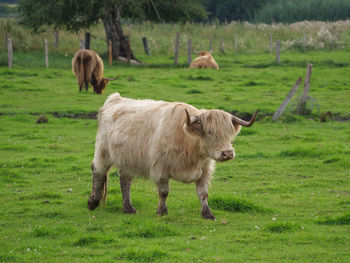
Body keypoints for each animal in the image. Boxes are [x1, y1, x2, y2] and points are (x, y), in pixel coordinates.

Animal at [87, 93, 258, 221]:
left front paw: (207, 213)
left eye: (229, 133)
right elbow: (164, 192)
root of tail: (115, 99)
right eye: (210, 132)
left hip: (127, 159)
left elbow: (203, 193)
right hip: (102, 152)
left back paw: (129, 208)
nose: (227, 153)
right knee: (98, 172)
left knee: (125, 180)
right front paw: (162, 211)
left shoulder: (204, 170)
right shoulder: (161, 169)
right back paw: (93, 202)